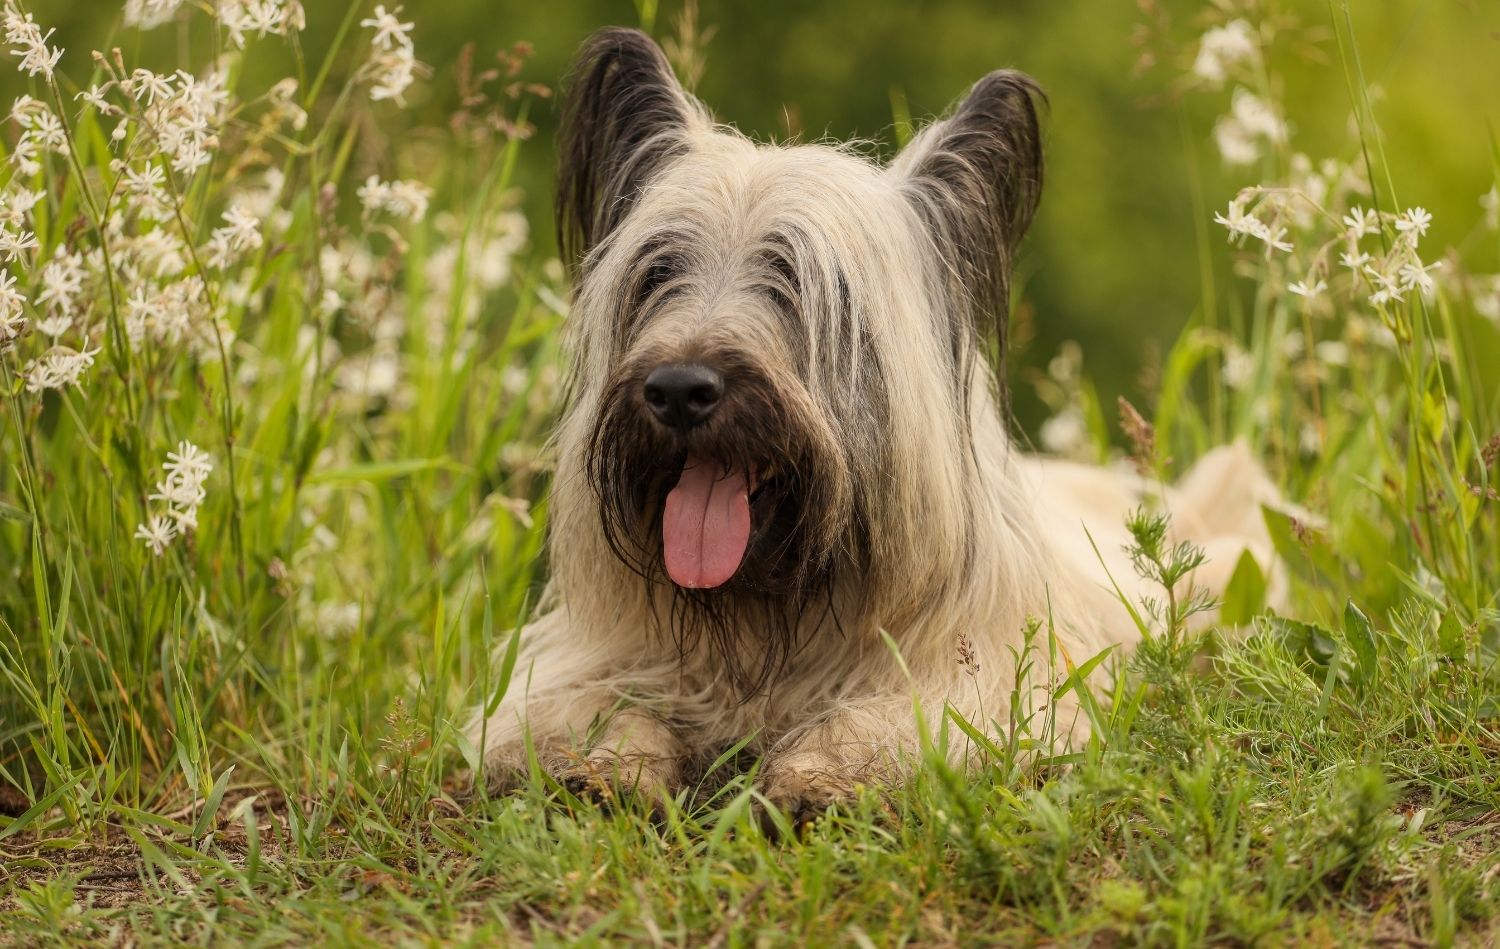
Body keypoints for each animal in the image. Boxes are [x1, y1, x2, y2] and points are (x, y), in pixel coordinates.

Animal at [465, 27, 1278, 815]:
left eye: (797, 280)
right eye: (658, 272)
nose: (678, 389)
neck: (770, 619)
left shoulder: (996, 679)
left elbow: (909, 717)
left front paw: (822, 773)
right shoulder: (576, 659)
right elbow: (575, 705)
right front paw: (597, 764)